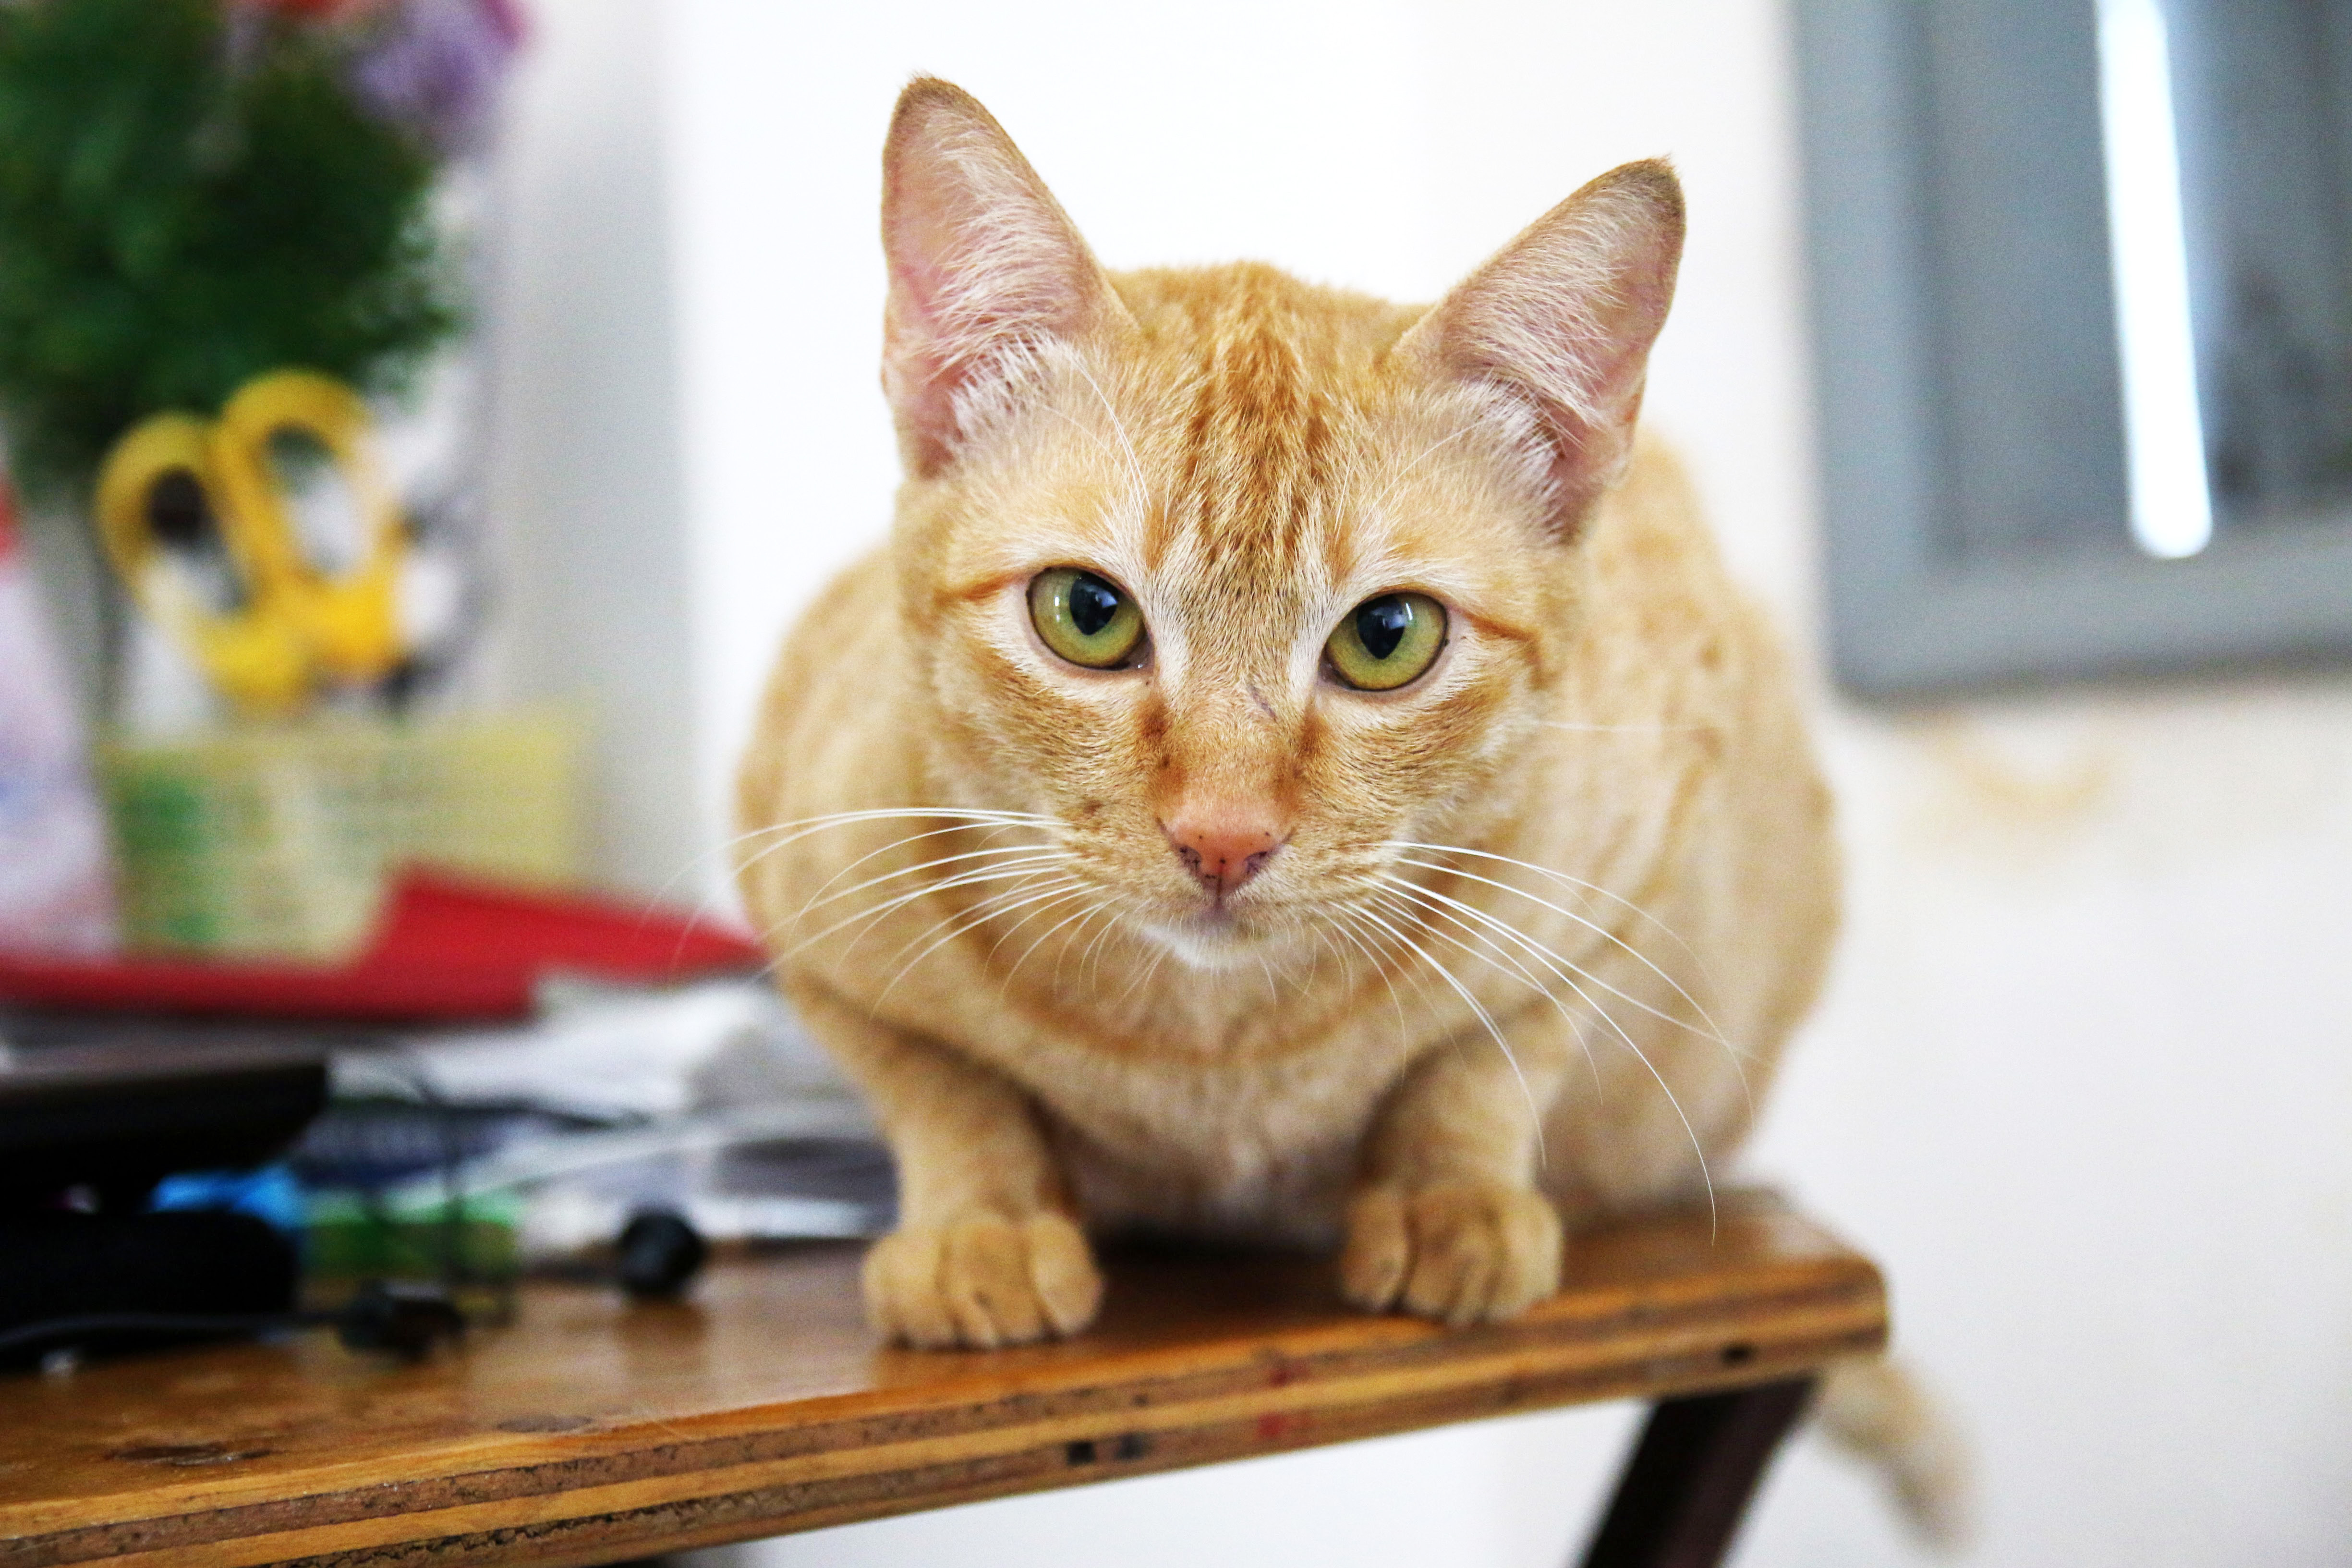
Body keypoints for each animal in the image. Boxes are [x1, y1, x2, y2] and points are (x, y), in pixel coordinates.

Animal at [734, 76, 1834, 1354]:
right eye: (1087, 614)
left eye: (1386, 636)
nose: (1224, 837)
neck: (1212, 1053)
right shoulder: (794, 883)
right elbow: (944, 1085)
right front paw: (984, 1223)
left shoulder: (1632, 859)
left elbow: (1489, 1052)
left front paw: (1447, 1198)